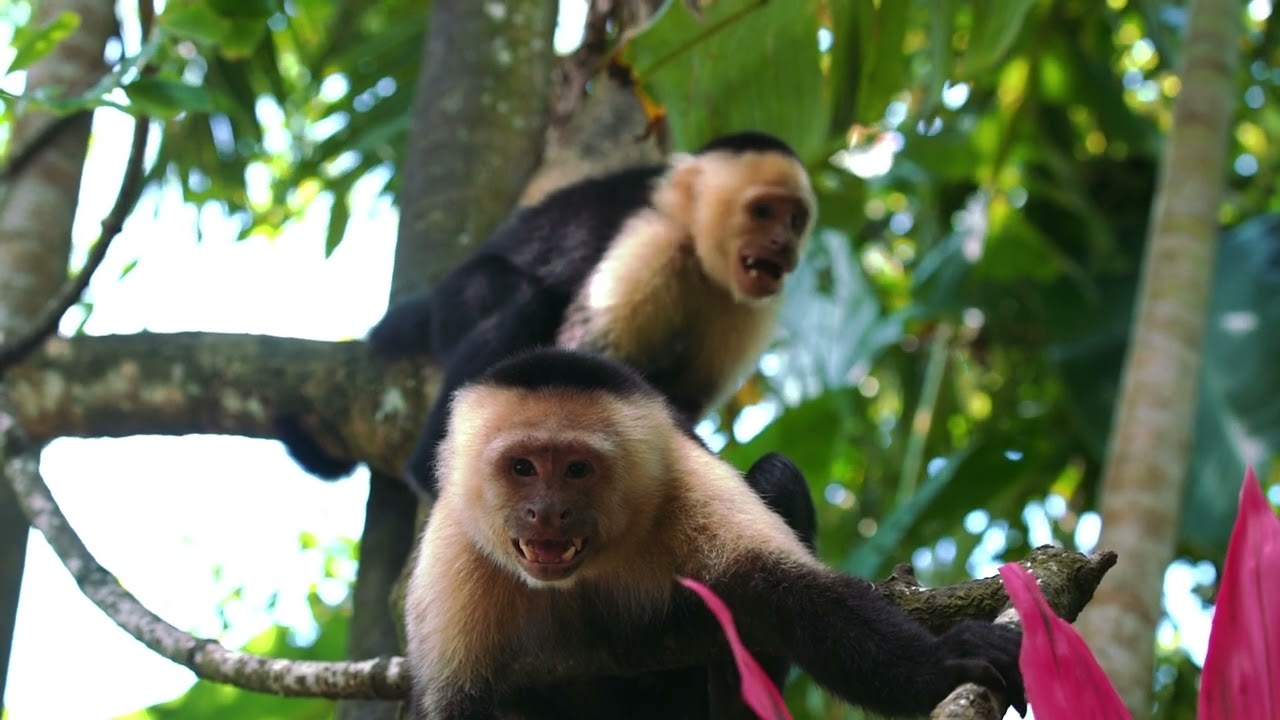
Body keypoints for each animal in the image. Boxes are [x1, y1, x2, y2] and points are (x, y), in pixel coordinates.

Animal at [277, 132, 817, 494]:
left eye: (795, 219)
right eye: (763, 211)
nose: (783, 246)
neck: (698, 254)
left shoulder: (745, 307)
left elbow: (681, 401)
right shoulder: (649, 243)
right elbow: (586, 363)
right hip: (461, 298)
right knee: (524, 303)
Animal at [404, 348, 1026, 719]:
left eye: (577, 469)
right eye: (522, 468)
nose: (547, 512)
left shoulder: (678, 482)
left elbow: (790, 593)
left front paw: (941, 664)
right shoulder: (457, 542)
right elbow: (457, 705)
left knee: (777, 476)